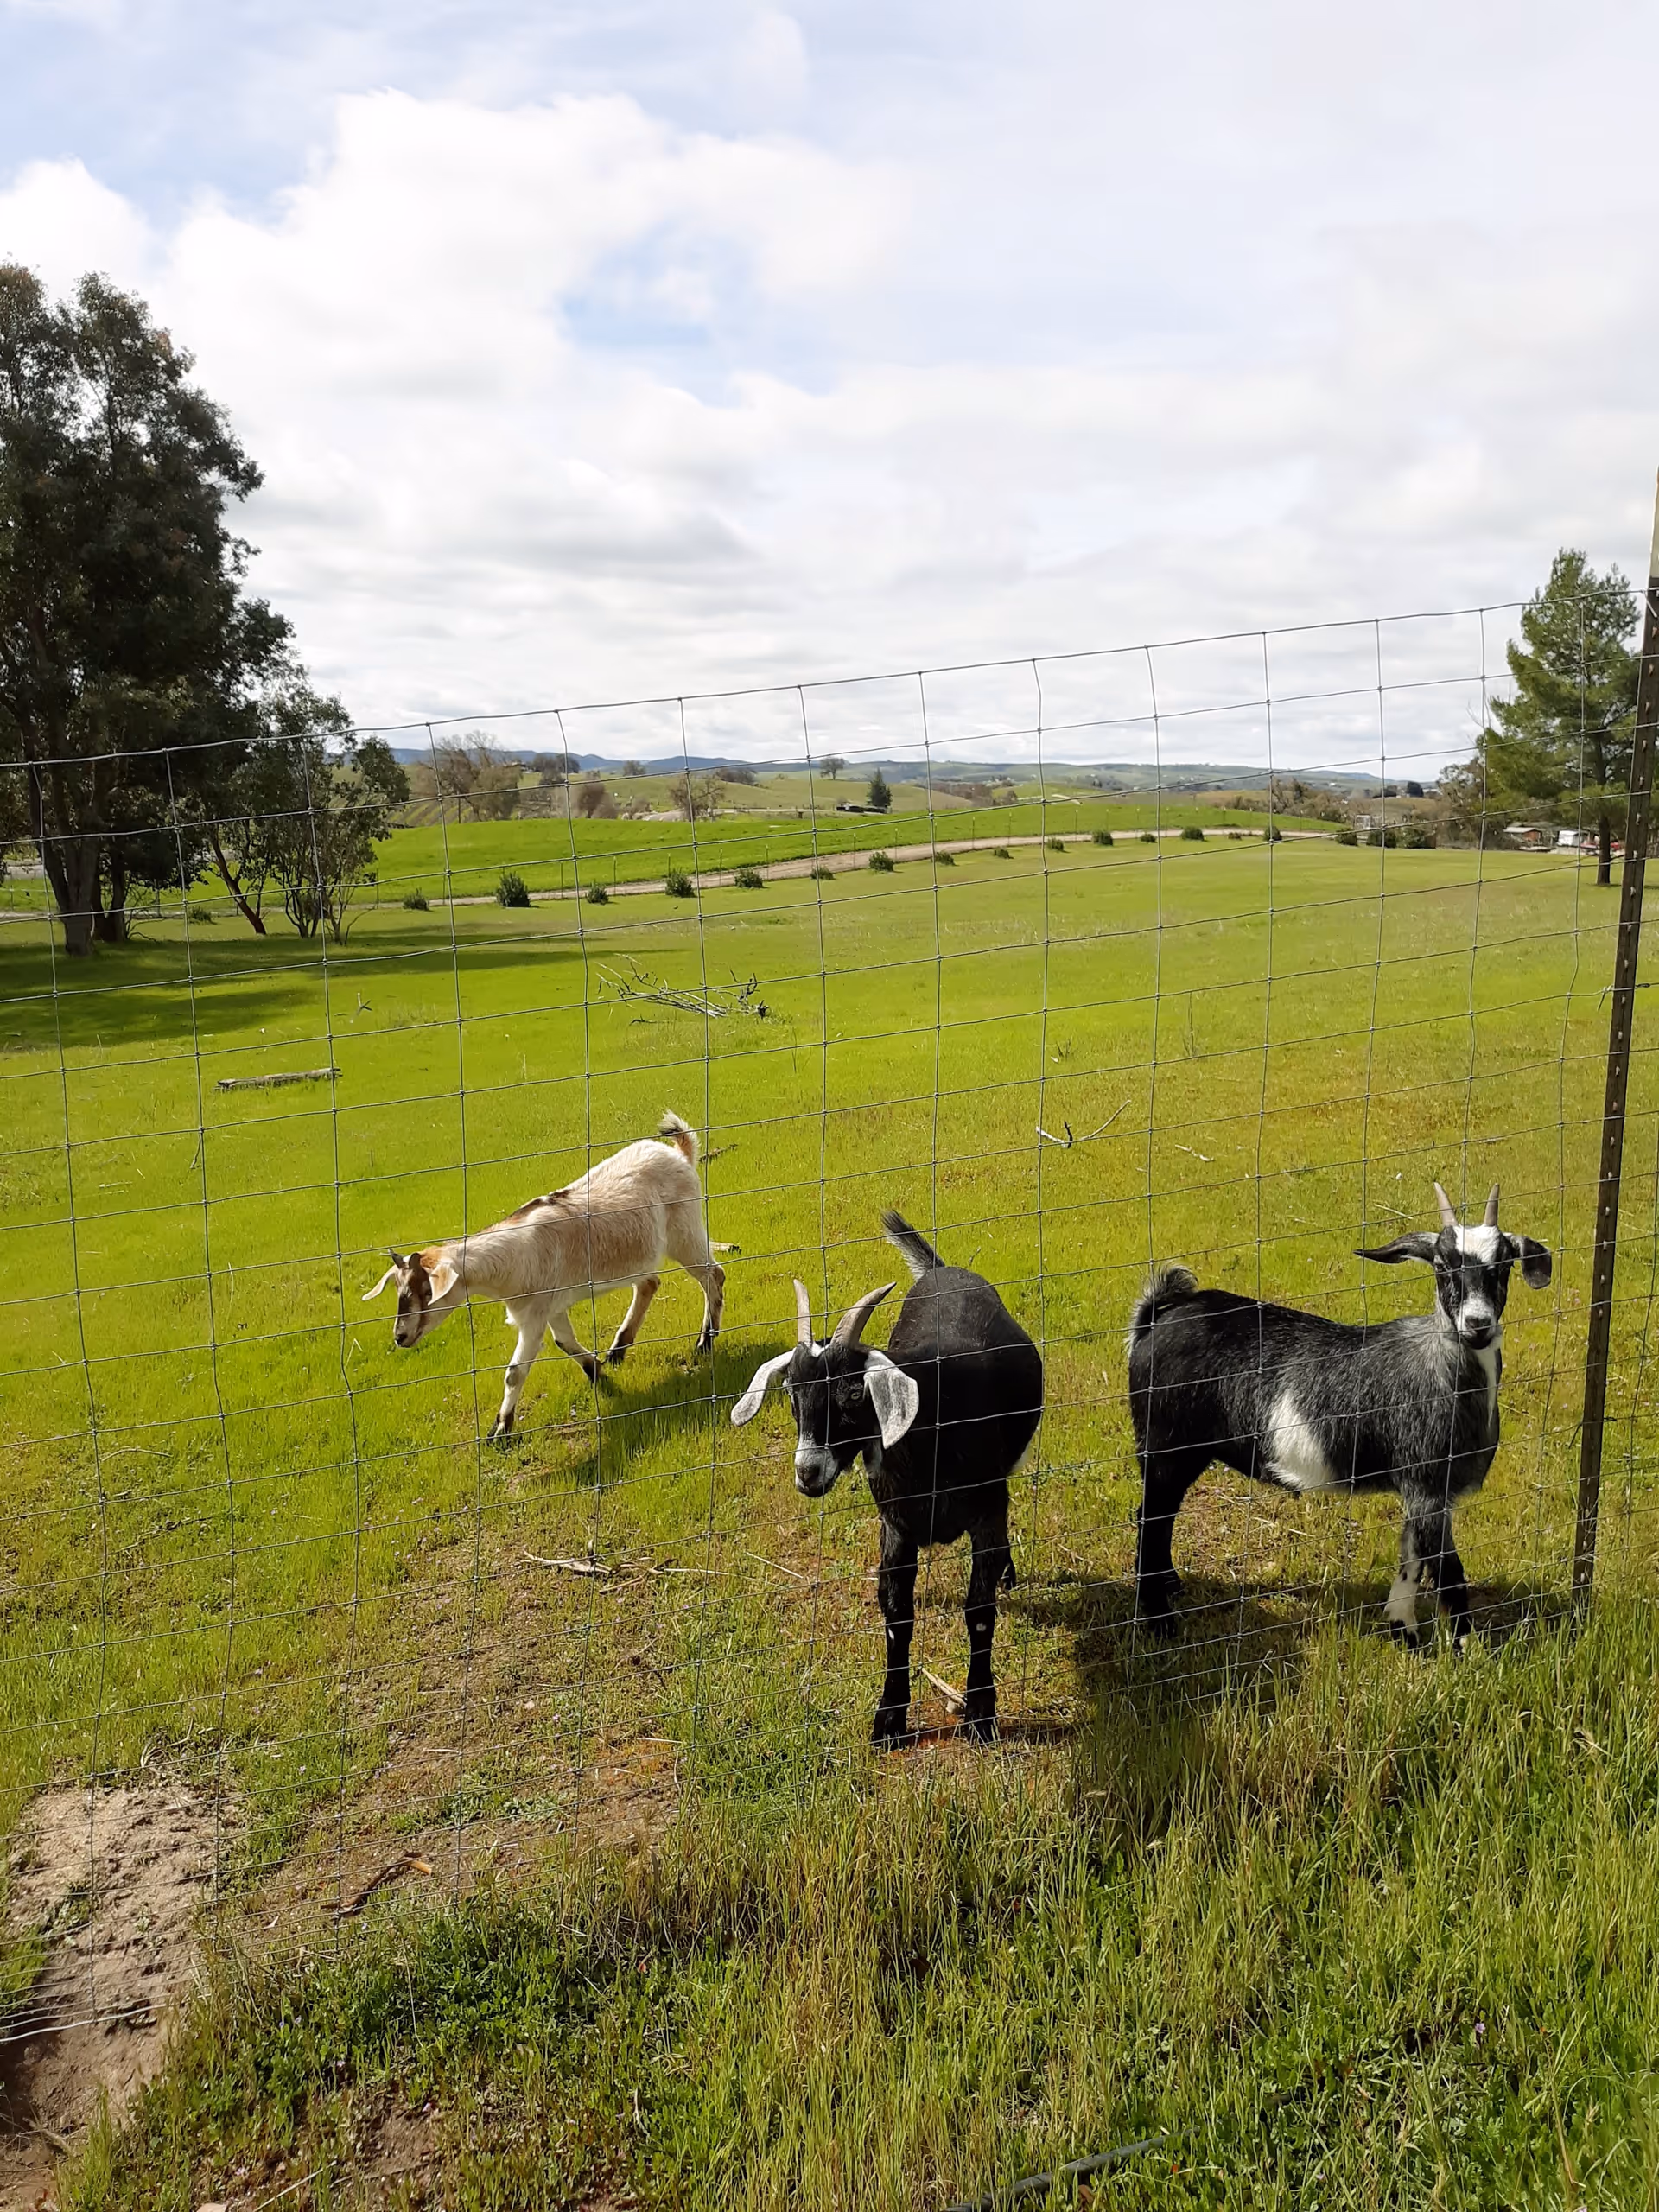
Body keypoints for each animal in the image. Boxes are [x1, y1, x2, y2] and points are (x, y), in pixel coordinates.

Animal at [362, 1112, 724, 1442]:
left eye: (427, 1291)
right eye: (398, 1289)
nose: (400, 1336)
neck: (515, 1257)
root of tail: (680, 1153)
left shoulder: (534, 1312)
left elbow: (515, 1372)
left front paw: (500, 1431)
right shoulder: (551, 1306)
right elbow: (564, 1342)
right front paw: (597, 1371)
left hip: (685, 1230)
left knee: (713, 1275)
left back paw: (705, 1341)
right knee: (650, 1282)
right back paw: (618, 1350)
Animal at [732, 1212, 1043, 1745]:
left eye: (855, 1392)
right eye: (792, 1391)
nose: (807, 1473)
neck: (936, 1428)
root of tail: (942, 1269)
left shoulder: (987, 1510)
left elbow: (979, 1612)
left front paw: (982, 1714)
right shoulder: (896, 1525)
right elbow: (897, 1611)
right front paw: (890, 1720)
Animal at [1127, 1180, 1551, 1645]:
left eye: (1504, 1264)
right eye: (1442, 1266)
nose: (1477, 1324)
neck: (1443, 1371)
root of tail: (1156, 1319)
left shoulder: (1422, 1491)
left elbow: (1411, 1557)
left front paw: (1401, 1628)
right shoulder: (1426, 1484)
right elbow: (1448, 1571)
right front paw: (1463, 1647)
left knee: (1161, 1517)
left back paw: (1170, 1586)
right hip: (1166, 1445)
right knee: (1151, 1517)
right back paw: (1159, 1620)